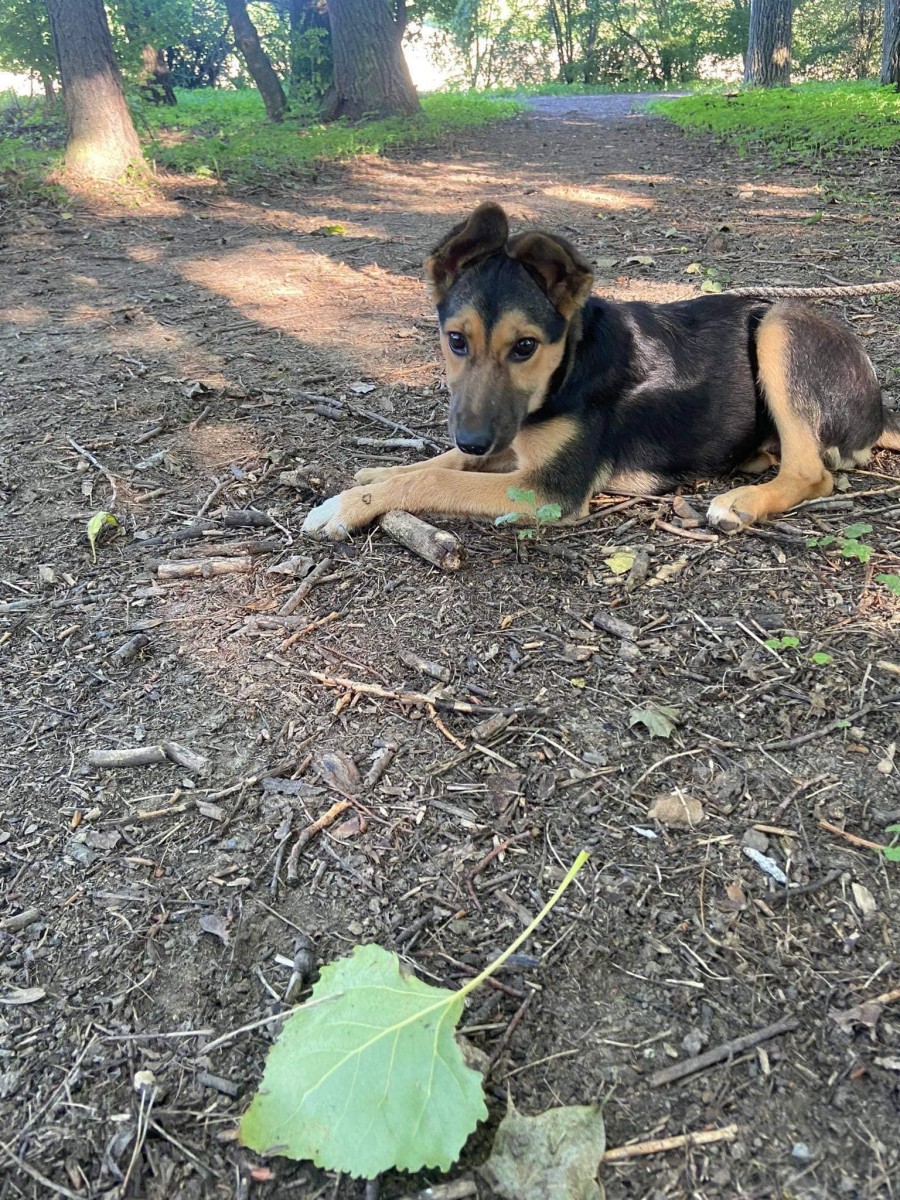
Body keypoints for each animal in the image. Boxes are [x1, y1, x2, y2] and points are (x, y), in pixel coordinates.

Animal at [302, 202, 899, 540]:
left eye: (525, 347)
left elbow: (439, 477)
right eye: (455, 341)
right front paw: (382, 474)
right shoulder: (511, 442)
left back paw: (742, 502)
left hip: (779, 323)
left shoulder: (548, 490)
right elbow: (445, 462)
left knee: (813, 472)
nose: (474, 437)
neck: (569, 368)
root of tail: (878, 409)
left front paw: (346, 505)